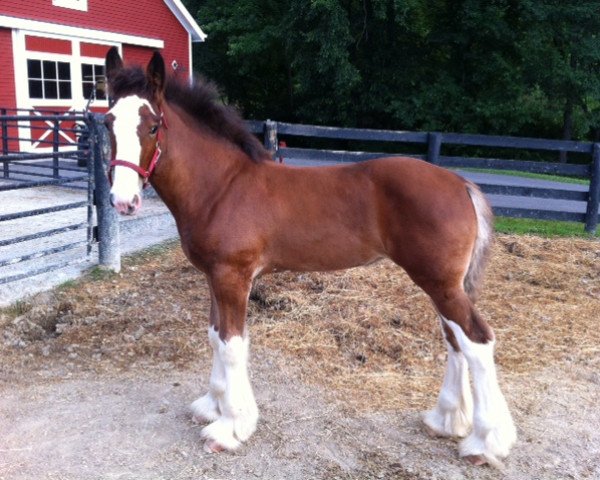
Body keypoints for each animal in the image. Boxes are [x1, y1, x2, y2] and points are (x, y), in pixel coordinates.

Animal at [103, 47, 516, 464]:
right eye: (107, 123)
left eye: (152, 126)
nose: (123, 201)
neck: (222, 187)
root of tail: (461, 183)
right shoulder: (214, 277)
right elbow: (216, 336)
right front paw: (213, 406)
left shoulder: (232, 277)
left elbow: (232, 345)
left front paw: (230, 428)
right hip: (444, 284)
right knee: (454, 340)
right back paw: (446, 420)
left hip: (440, 284)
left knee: (477, 342)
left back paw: (486, 442)